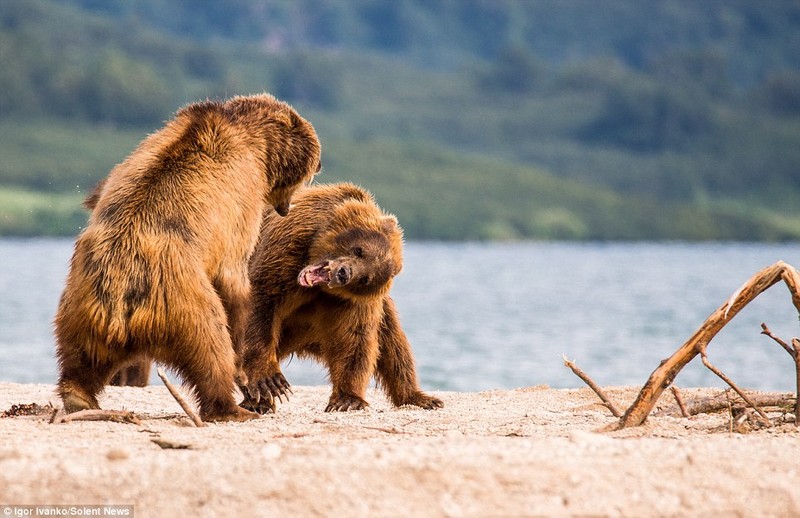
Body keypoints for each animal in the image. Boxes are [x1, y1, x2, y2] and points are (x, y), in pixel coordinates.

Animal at [51, 95, 322, 424]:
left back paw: (78, 397)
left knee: (80, 358)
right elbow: (236, 280)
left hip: (79, 307)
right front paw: (259, 380)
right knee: (211, 348)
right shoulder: (241, 199)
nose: (321, 163)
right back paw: (231, 408)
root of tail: (121, 306)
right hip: (183, 303)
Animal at [238, 183, 444, 414]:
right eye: (359, 250)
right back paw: (256, 401)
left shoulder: (351, 304)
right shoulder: (284, 251)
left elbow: (353, 337)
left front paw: (347, 399)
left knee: (392, 343)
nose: (344, 273)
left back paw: (419, 397)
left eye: (365, 278)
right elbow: (262, 302)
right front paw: (269, 380)